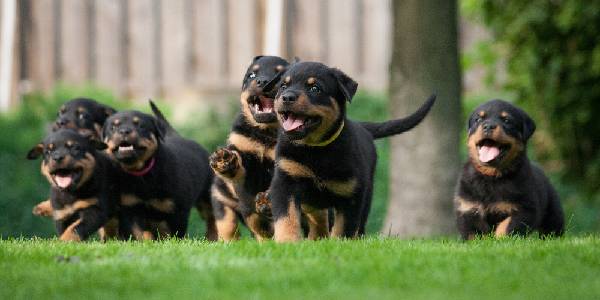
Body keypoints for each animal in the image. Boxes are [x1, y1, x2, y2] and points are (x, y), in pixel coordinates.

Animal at [103, 104, 216, 240]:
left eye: (141, 126)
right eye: (113, 127)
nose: (124, 131)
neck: (141, 173)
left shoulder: (176, 211)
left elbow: (174, 235)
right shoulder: (131, 208)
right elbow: (140, 233)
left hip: (206, 196)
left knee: (212, 216)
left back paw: (213, 237)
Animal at [209, 54, 288, 241]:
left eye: (280, 76)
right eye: (252, 75)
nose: (263, 81)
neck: (266, 132)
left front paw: (267, 203)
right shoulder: (244, 154)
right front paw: (225, 161)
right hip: (220, 194)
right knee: (228, 224)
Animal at [268, 61, 436, 241]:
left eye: (315, 88)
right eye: (283, 86)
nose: (287, 97)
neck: (315, 149)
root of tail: (362, 126)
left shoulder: (352, 194)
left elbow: (344, 228)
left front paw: (338, 243)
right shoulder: (285, 182)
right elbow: (287, 218)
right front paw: (286, 241)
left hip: (367, 196)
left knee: (357, 227)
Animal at [458, 99, 564, 240]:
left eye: (507, 120)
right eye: (478, 119)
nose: (488, 126)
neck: (491, 177)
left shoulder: (524, 209)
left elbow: (506, 227)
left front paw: (500, 241)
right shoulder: (467, 208)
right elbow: (474, 234)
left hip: (553, 214)